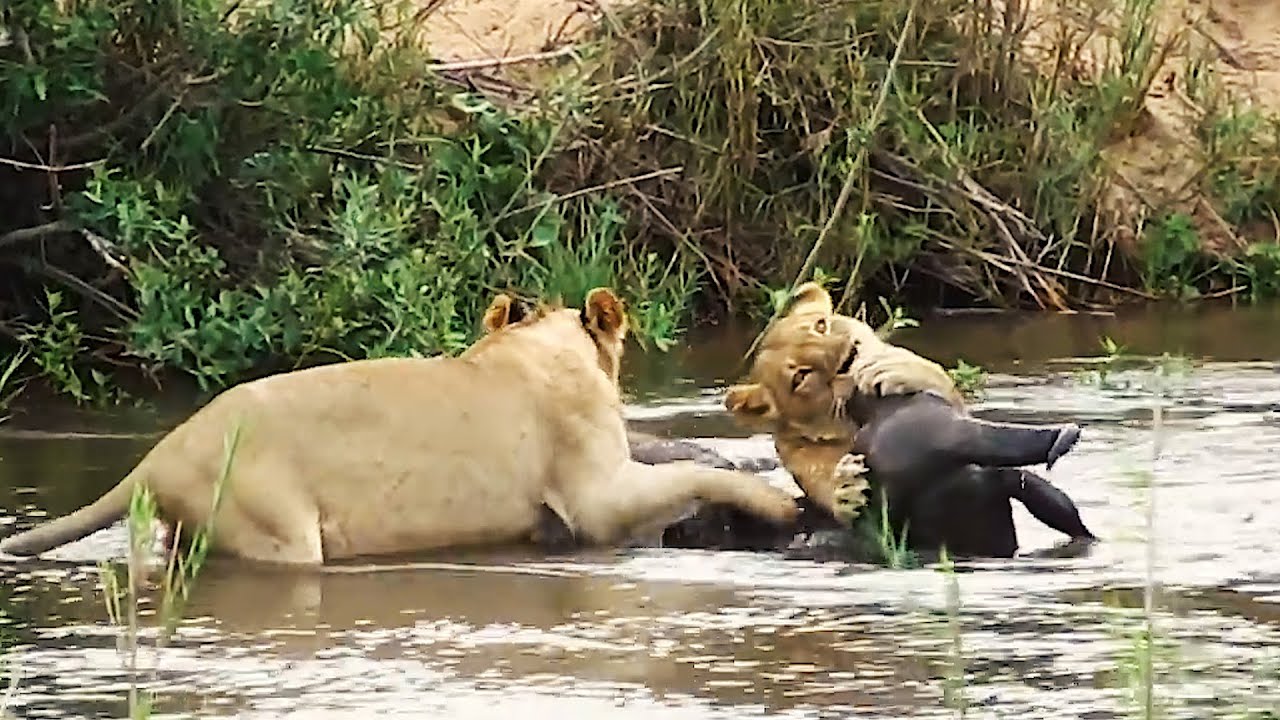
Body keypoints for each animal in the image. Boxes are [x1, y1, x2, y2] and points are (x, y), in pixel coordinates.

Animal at [0, 288, 800, 565]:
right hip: (280, 530)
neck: (539, 346)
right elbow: (688, 473)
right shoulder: (595, 499)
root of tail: (158, 454)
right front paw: (778, 503)